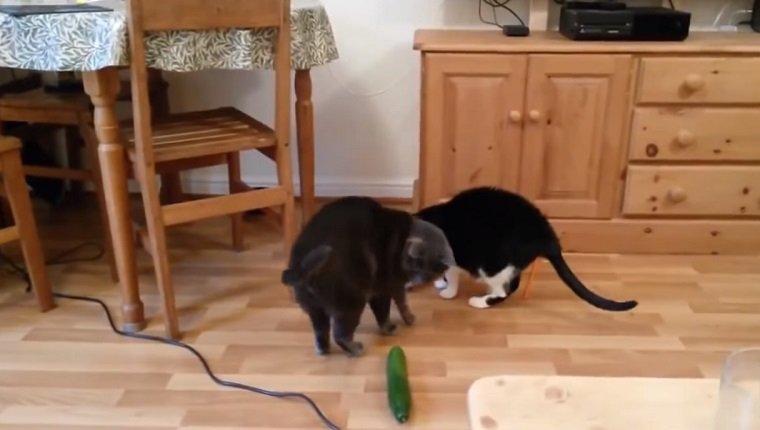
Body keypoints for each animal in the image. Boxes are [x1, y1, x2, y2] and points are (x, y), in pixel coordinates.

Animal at [282, 196, 454, 356]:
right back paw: (355, 349)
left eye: (429, 274)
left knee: (321, 332)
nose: (418, 279)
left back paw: (323, 350)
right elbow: (385, 313)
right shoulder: (383, 289)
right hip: (352, 302)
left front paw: (408, 318)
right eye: (415, 265)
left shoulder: (396, 284)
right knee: (340, 334)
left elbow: (402, 302)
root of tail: (301, 268)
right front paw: (390, 328)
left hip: (315, 309)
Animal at [412, 186, 640, 310]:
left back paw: (480, 301)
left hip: (493, 263)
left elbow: (452, 275)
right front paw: (441, 283)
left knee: (507, 289)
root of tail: (546, 233)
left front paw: (448, 291)